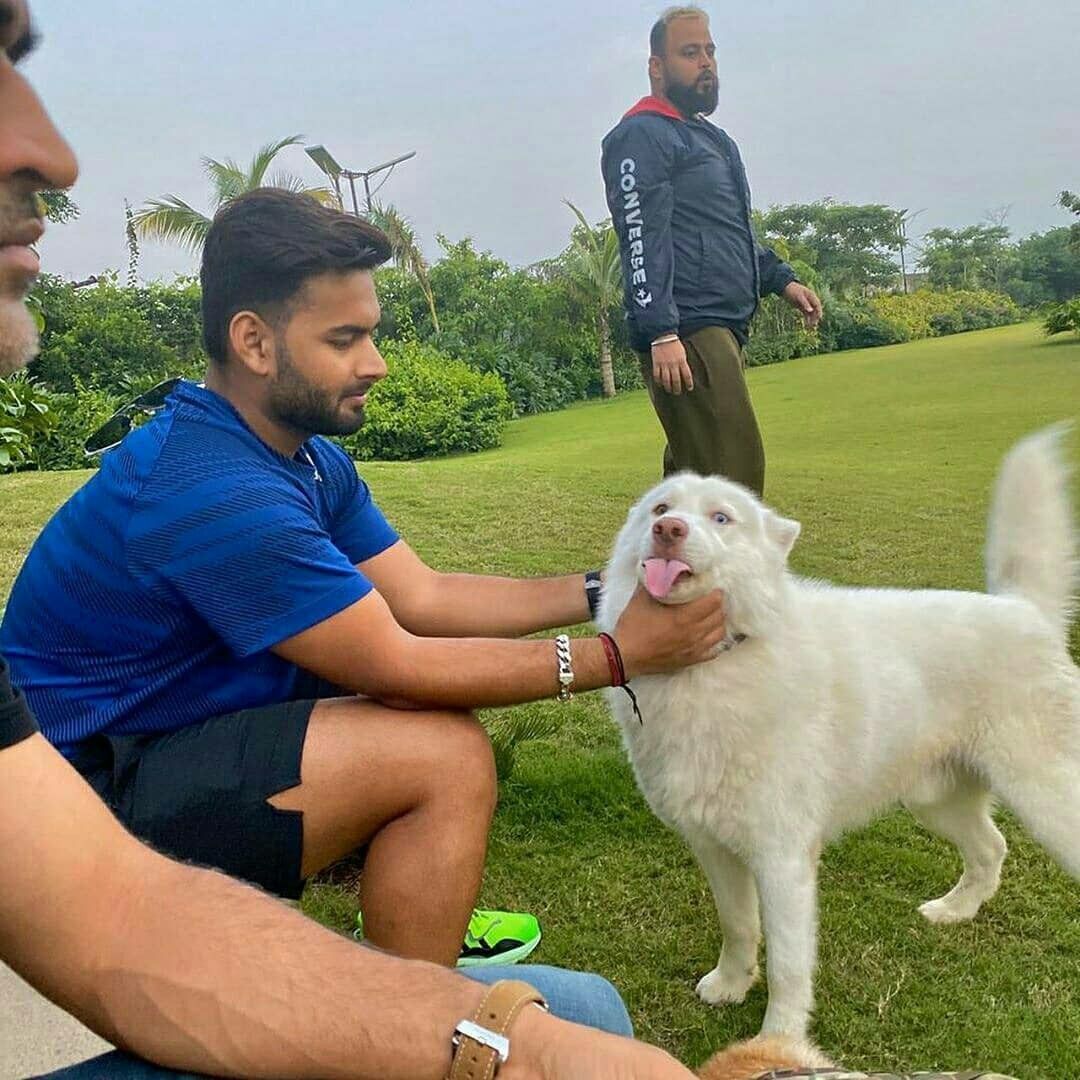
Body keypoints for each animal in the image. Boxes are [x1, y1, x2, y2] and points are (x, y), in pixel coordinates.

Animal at [600, 427, 1080, 1036]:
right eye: (661, 509)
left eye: (721, 518)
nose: (668, 531)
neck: (717, 665)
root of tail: (1024, 610)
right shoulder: (715, 849)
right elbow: (738, 927)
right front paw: (731, 985)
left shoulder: (783, 860)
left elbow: (787, 965)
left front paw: (780, 1037)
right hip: (936, 800)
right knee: (991, 849)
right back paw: (954, 911)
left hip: (1046, 799)